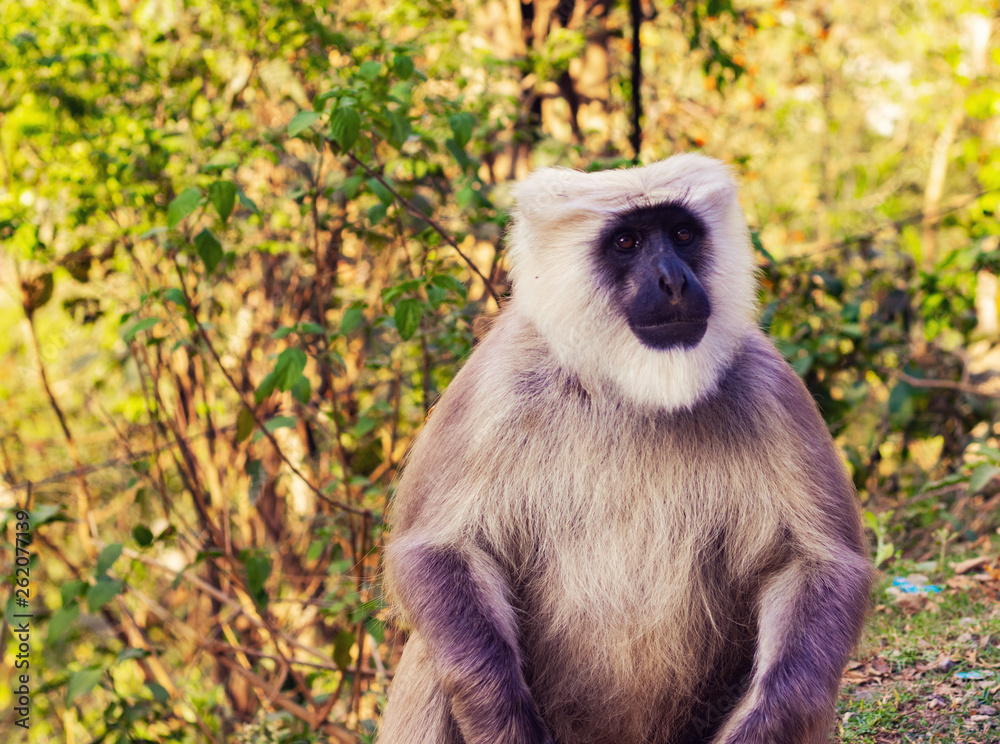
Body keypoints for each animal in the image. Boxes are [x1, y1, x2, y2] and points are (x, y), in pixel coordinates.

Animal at [377, 154, 873, 744]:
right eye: (627, 242)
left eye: (682, 234)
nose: (674, 280)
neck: (630, 391)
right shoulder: (497, 383)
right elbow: (435, 551)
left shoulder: (766, 384)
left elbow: (819, 566)